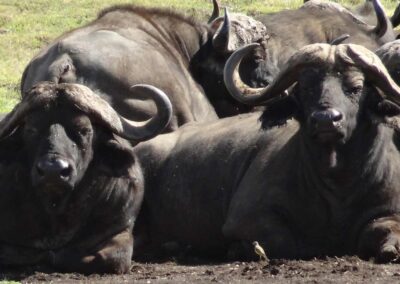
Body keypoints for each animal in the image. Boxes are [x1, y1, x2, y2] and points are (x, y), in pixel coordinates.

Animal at [133, 42, 400, 262]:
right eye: (306, 87)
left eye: (355, 87)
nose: (326, 120)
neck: (337, 188)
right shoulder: (246, 218)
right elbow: (287, 242)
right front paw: (239, 249)